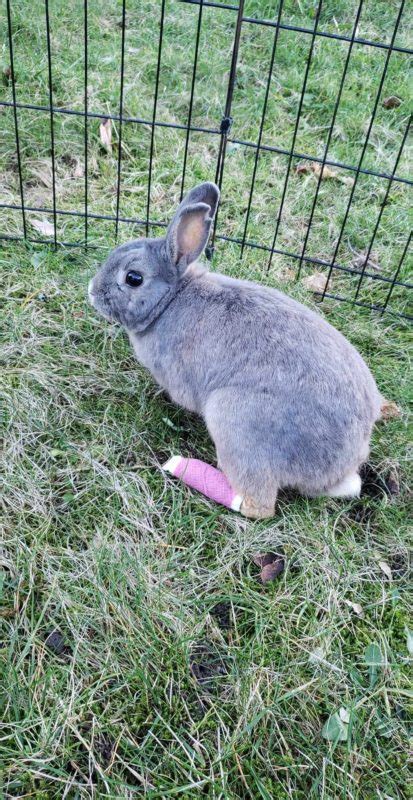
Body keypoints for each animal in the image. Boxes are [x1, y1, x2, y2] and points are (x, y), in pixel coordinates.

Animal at [89, 181, 380, 520]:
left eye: (133, 278)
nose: (92, 291)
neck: (170, 299)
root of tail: (336, 469)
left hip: (234, 419)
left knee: (259, 505)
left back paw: (190, 472)